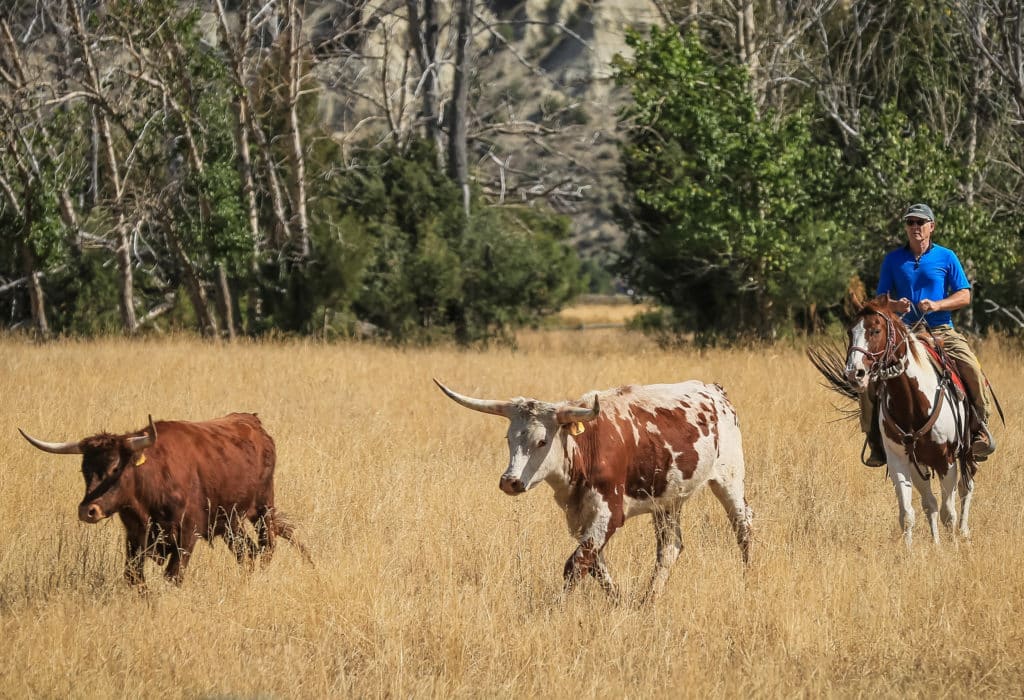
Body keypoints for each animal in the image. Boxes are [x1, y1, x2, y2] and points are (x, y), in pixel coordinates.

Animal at [19, 413, 307, 581]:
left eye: (115, 468)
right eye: (84, 470)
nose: (88, 511)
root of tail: (252, 422)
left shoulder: (187, 534)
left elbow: (173, 575)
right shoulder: (135, 537)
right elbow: (133, 577)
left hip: (263, 507)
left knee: (266, 546)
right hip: (229, 521)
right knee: (246, 551)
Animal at [811, 294, 970, 548]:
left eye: (876, 330)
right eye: (849, 331)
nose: (853, 373)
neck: (913, 402)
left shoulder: (947, 460)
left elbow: (949, 512)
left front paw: (953, 548)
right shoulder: (899, 460)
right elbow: (908, 513)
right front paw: (910, 552)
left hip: (965, 455)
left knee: (966, 489)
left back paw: (964, 532)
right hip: (920, 464)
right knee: (930, 503)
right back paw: (936, 543)